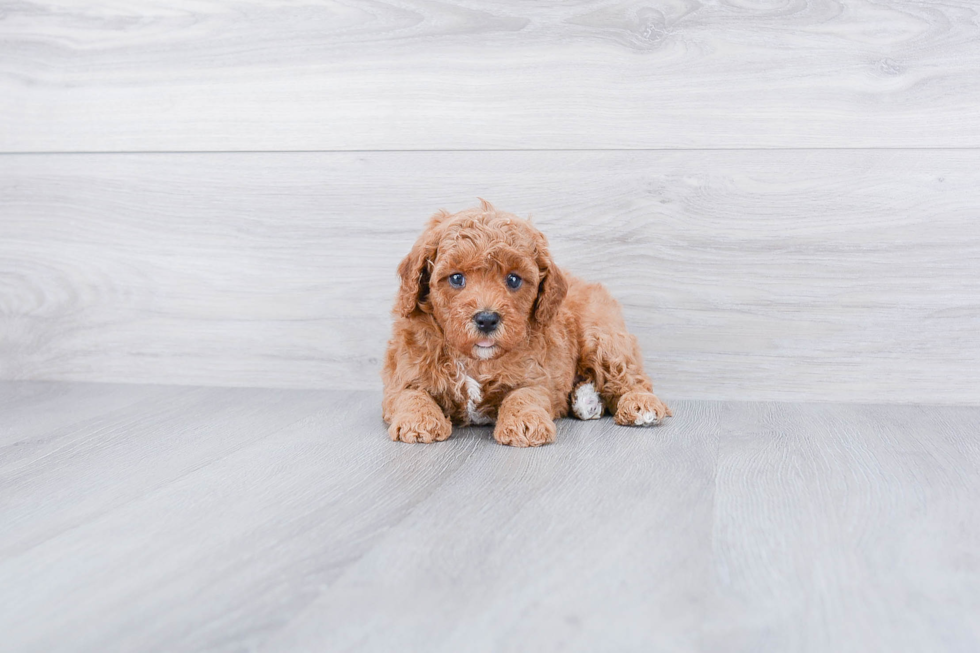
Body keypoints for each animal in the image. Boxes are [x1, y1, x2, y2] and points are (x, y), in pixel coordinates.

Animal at [382, 201, 672, 446]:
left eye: (513, 280)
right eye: (456, 278)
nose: (486, 319)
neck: (477, 360)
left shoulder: (536, 376)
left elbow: (523, 395)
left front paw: (524, 423)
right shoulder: (402, 375)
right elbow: (410, 394)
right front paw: (419, 420)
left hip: (601, 337)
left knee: (631, 376)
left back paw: (639, 403)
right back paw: (587, 401)